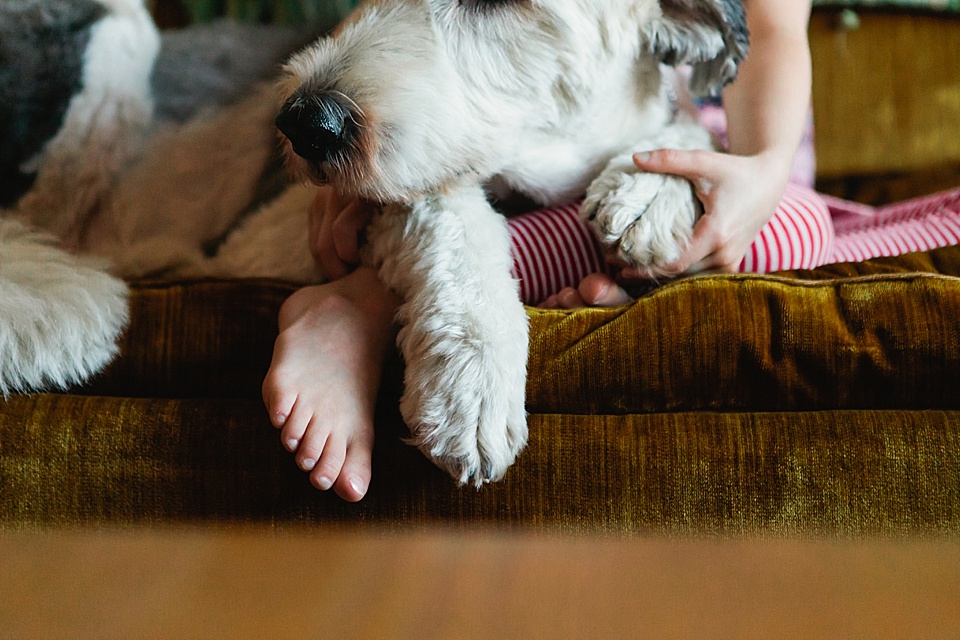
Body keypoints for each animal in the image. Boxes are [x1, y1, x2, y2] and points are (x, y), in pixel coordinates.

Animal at [0, 0, 748, 484]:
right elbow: (445, 205)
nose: (303, 124)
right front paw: (472, 383)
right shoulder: (277, 233)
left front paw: (650, 189)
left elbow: (700, 136)